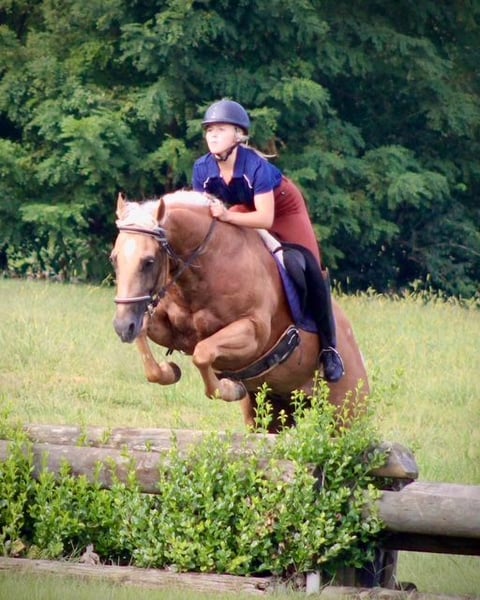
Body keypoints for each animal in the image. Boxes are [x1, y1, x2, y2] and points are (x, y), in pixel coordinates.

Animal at [111, 191, 369, 432]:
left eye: (149, 261)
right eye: (114, 259)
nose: (122, 327)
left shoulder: (253, 333)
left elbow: (202, 353)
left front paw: (229, 388)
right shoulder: (169, 329)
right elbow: (146, 339)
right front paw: (169, 371)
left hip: (345, 414)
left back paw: (332, 363)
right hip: (271, 410)